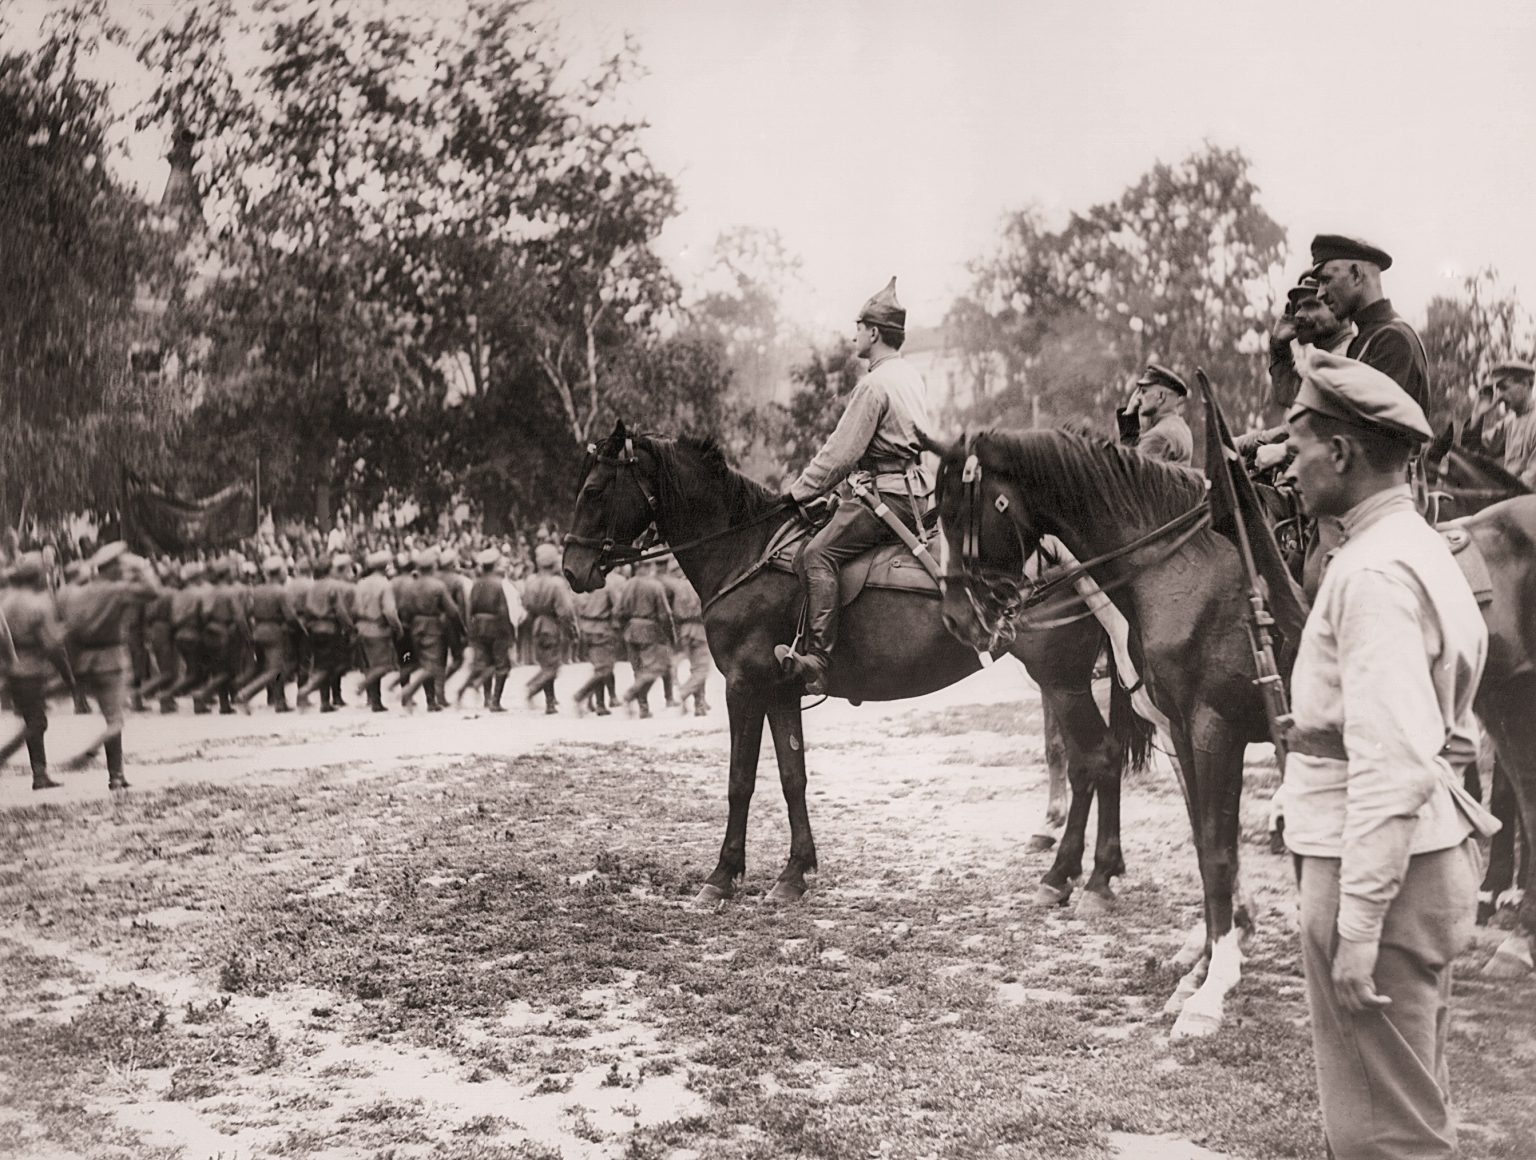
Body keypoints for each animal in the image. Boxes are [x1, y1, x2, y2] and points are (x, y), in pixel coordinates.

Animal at [559, 420, 1148, 909]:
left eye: (593, 490)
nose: (571, 567)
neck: (746, 550)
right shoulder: (780, 691)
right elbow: (792, 777)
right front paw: (794, 873)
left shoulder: (743, 687)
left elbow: (740, 781)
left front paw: (722, 877)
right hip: (1063, 681)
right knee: (1088, 762)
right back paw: (1083, 872)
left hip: (1061, 680)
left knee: (1095, 758)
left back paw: (1080, 877)